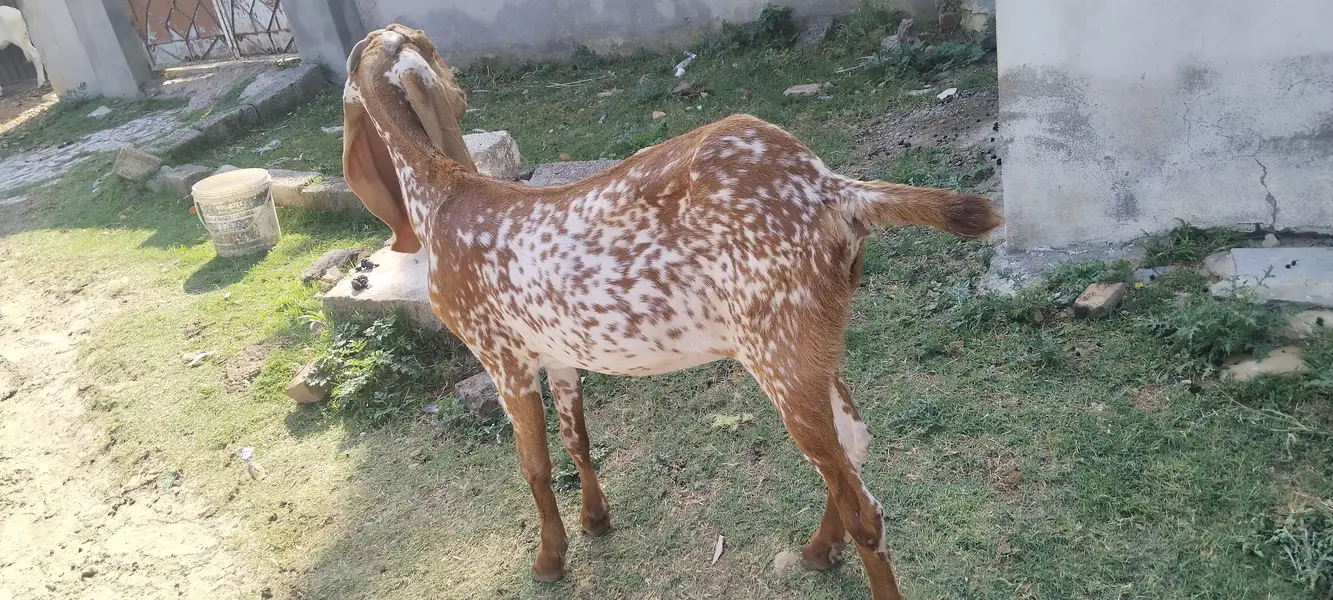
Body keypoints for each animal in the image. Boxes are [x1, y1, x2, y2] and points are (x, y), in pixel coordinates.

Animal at [343, 25, 1001, 600]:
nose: (462, 92)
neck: (443, 197)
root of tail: (836, 191)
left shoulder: (503, 358)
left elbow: (533, 465)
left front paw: (550, 559)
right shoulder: (560, 355)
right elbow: (577, 439)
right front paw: (596, 520)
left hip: (779, 354)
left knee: (866, 507)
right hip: (815, 346)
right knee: (855, 446)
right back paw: (818, 551)